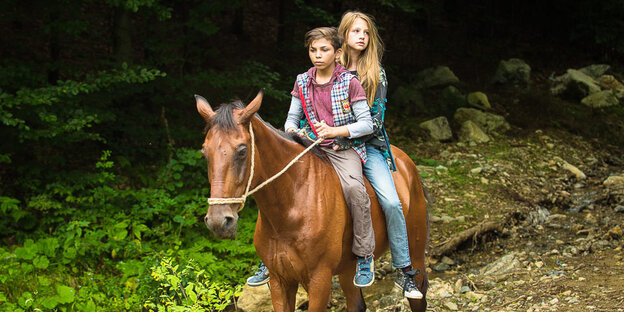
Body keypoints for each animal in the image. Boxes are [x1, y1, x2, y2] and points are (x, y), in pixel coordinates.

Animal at [196, 91, 428, 312]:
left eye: (242, 150)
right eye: (204, 152)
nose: (218, 221)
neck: (292, 203)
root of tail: (407, 164)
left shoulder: (319, 280)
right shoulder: (280, 281)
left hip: (414, 253)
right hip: (347, 269)